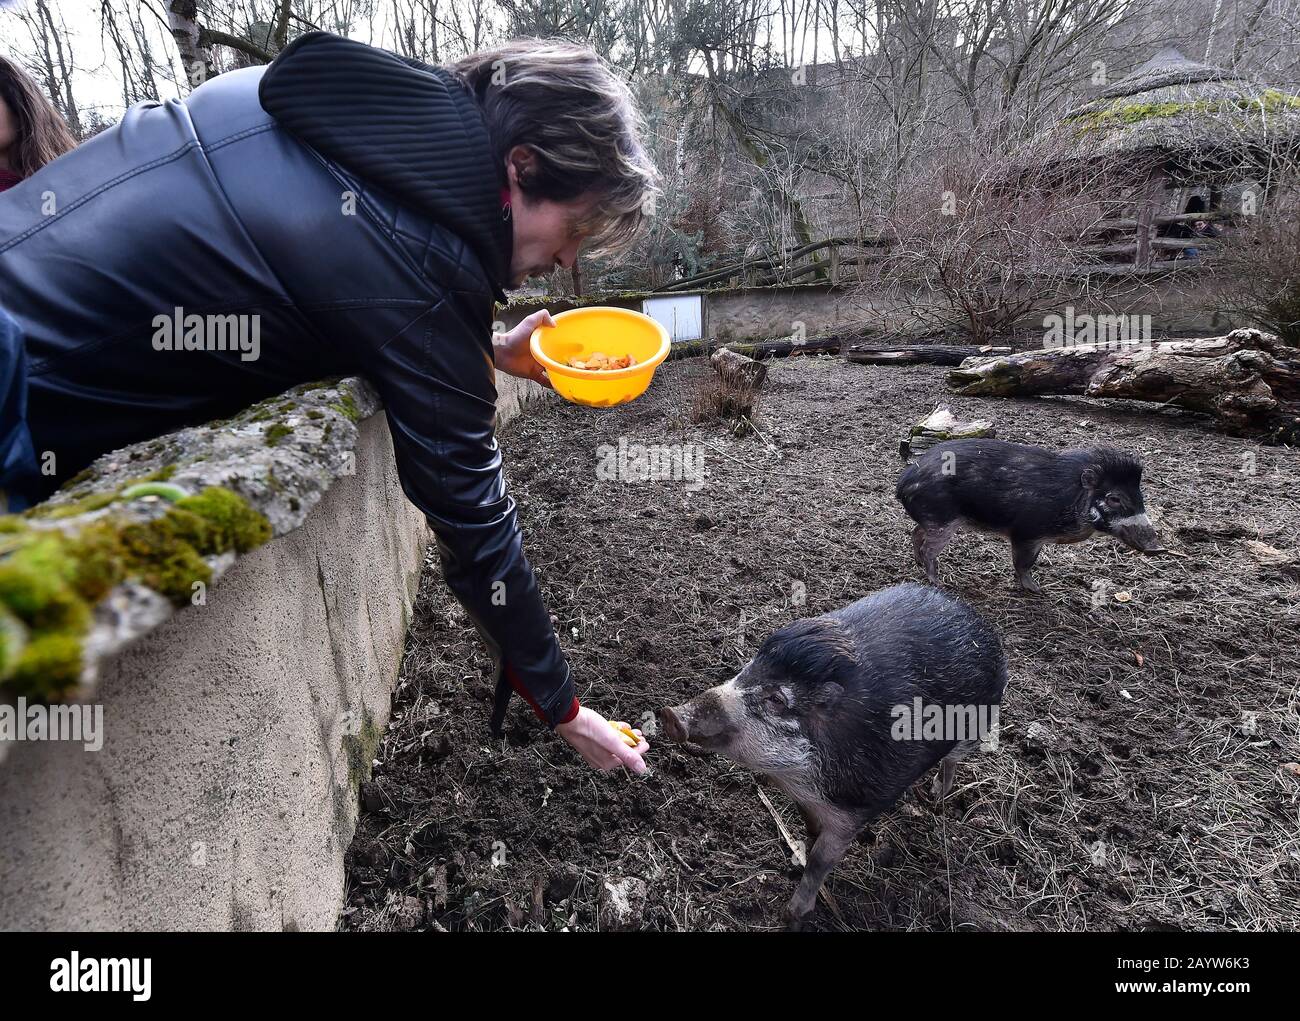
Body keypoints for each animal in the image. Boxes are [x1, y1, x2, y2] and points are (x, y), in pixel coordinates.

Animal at [660, 582, 1003, 931]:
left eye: (777, 700)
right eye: (747, 669)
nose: (671, 714)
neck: (796, 777)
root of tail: (976, 619)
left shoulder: (852, 812)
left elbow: (821, 861)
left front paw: (792, 916)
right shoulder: (804, 799)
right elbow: (808, 828)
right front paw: (798, 855)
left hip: (975, 725)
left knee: (952, 760)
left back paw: (936, 797)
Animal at [899, 437, 1164, 593]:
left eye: (1140, 495)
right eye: (1114, 498)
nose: (1157, 547)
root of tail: (903, 484)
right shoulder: (1026, 534)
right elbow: (1023, 563)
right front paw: (1037, 590)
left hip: (935, 521)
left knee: (915, 533)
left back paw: (919, 563)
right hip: (943, 522)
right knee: (928, 548)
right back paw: (940, 583)